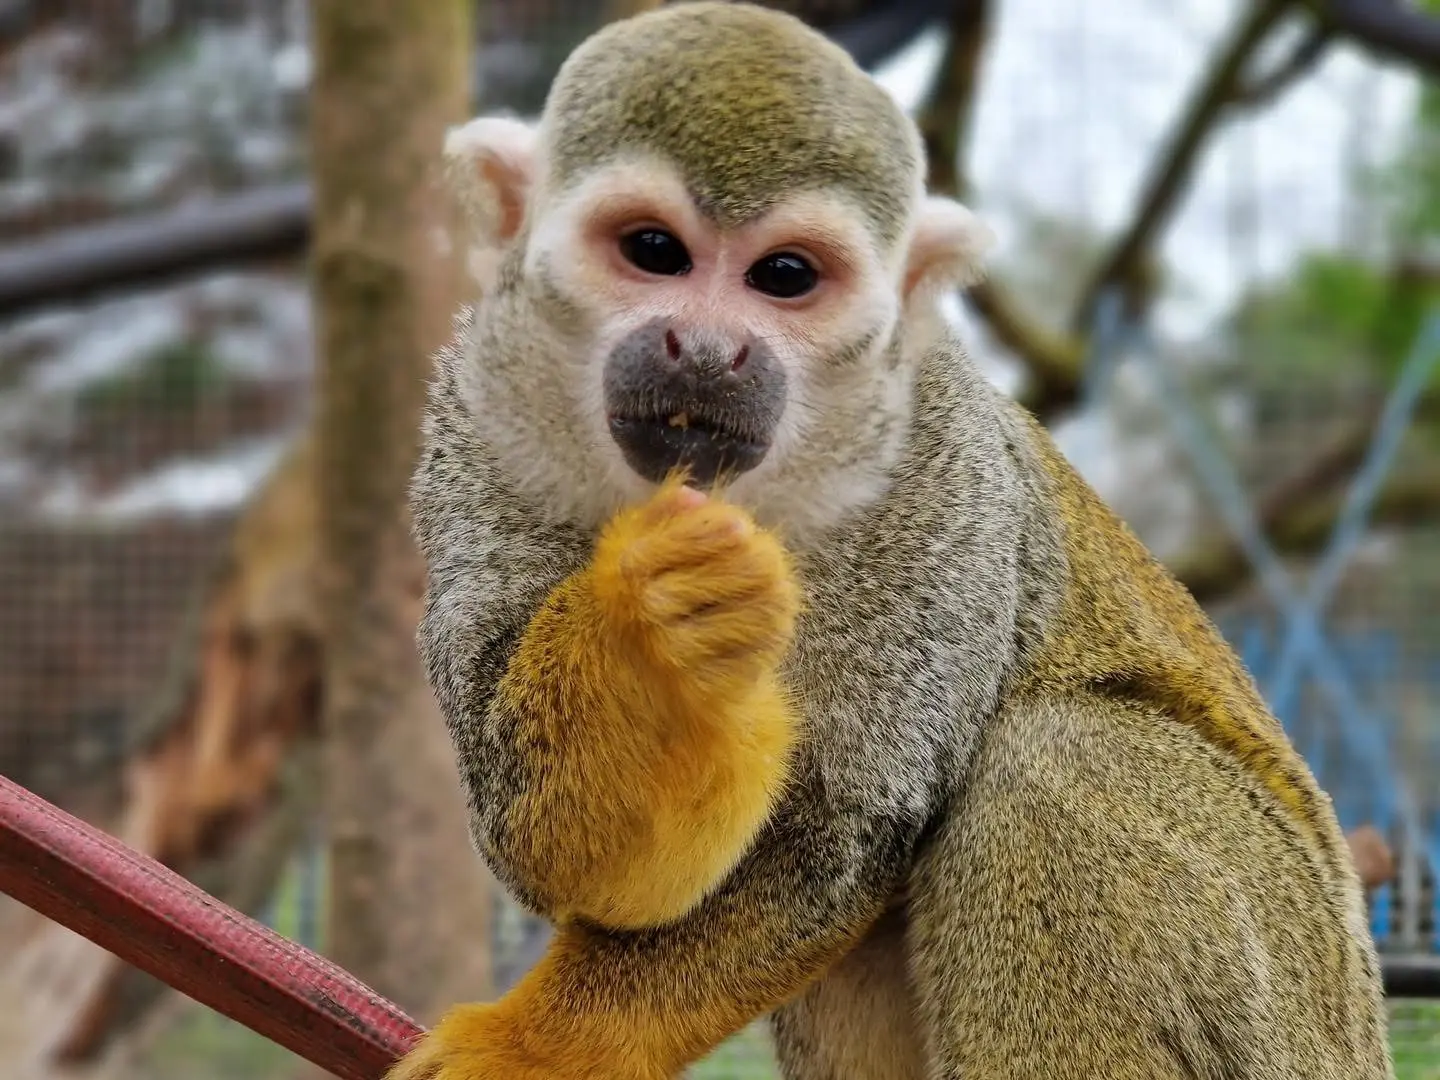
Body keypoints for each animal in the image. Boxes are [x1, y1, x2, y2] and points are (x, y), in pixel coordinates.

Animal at [387, 4, 1395, 1078]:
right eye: (653, 251)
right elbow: (542, 846)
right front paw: (655, 637)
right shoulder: (479, 414)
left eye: (785, 276)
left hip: (1289, 997)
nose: (707, 350)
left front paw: (541, 1046)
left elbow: (842, 832)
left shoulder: (938, 464)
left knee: (1061, 761)